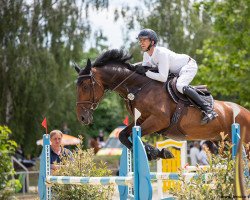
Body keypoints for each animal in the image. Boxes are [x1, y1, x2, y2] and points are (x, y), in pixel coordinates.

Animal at [75, 49, 250, 160]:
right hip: (222, 143)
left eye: (85, 86)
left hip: (244, 142)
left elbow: (133, 135)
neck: (138, 87)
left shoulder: (159, 120)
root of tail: (245, 111)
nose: (82, 118)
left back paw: (209, 113)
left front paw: (156, 152)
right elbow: (124, 135)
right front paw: (156, 153)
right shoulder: (141, 119)